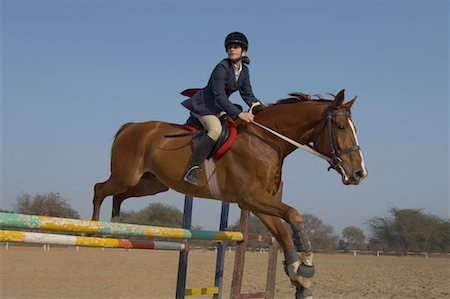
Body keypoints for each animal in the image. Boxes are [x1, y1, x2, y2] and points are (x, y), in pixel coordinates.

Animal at [92, 89, 370, 299]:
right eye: (341, 126)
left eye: (354, 128)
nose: (359, 173)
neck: (266, 140)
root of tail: (131, 127)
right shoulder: (251, 196)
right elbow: (293, 214)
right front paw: (305, 260)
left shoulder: (257, 203)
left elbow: (282, 233)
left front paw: (298, 276)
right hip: (127, 176)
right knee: (99, 189)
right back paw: (94, 229)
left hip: (151, 184)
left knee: (118, 196)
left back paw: (116, 226)